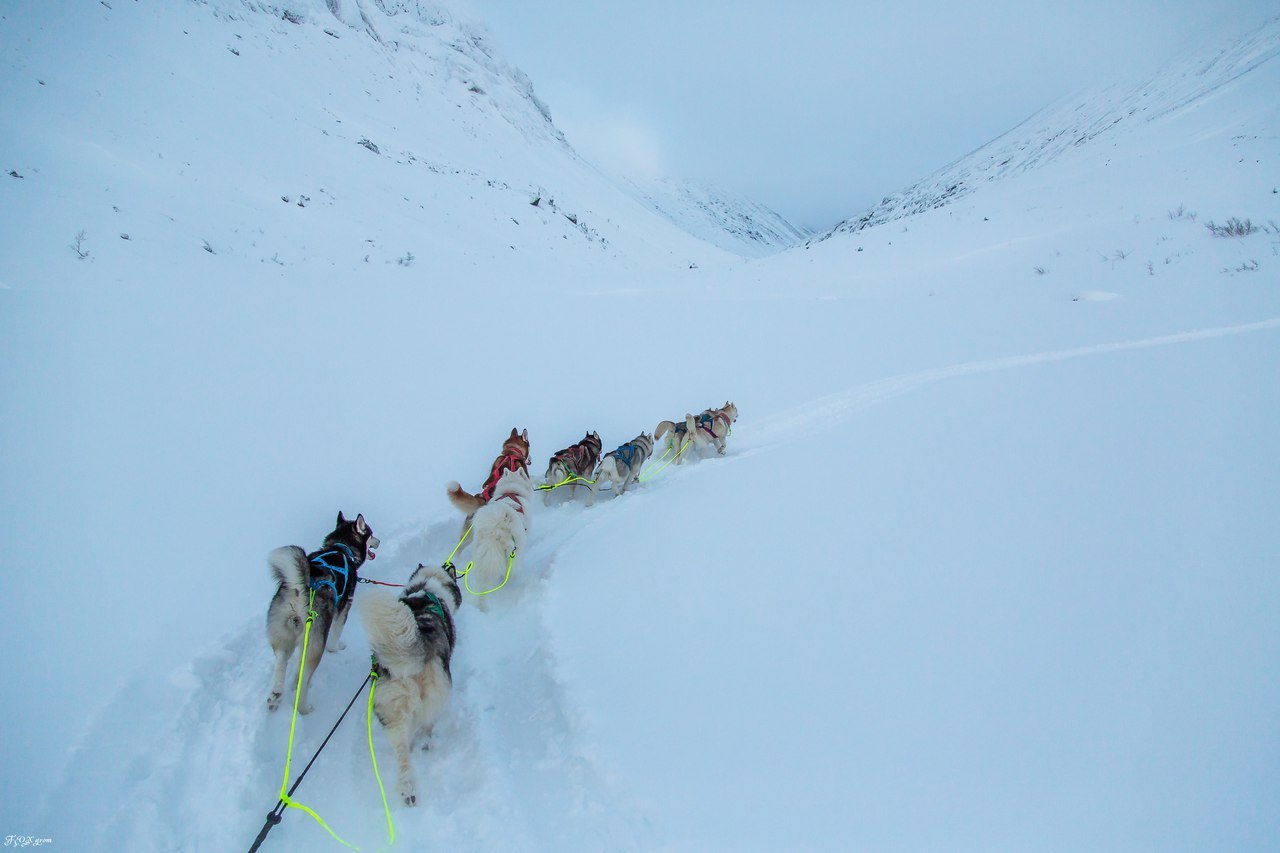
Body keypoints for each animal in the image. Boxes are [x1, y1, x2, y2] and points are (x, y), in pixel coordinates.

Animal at [262, 512, 376, 712]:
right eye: (371, 533)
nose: (378, 541)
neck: (341, 548)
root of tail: (300, 591)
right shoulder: (343, 609)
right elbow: (335, 636)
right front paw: (337, 648)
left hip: (283, 635)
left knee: (282, 661)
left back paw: (275, 694)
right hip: (316, 642)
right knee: (305, 677)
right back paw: (303, 707)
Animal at [358, 560, 463, 809]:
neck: (427, 588)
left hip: (390, 709)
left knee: (402, 750)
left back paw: (408, 788)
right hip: (432, 698)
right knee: (423, 726)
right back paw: (425, 744)